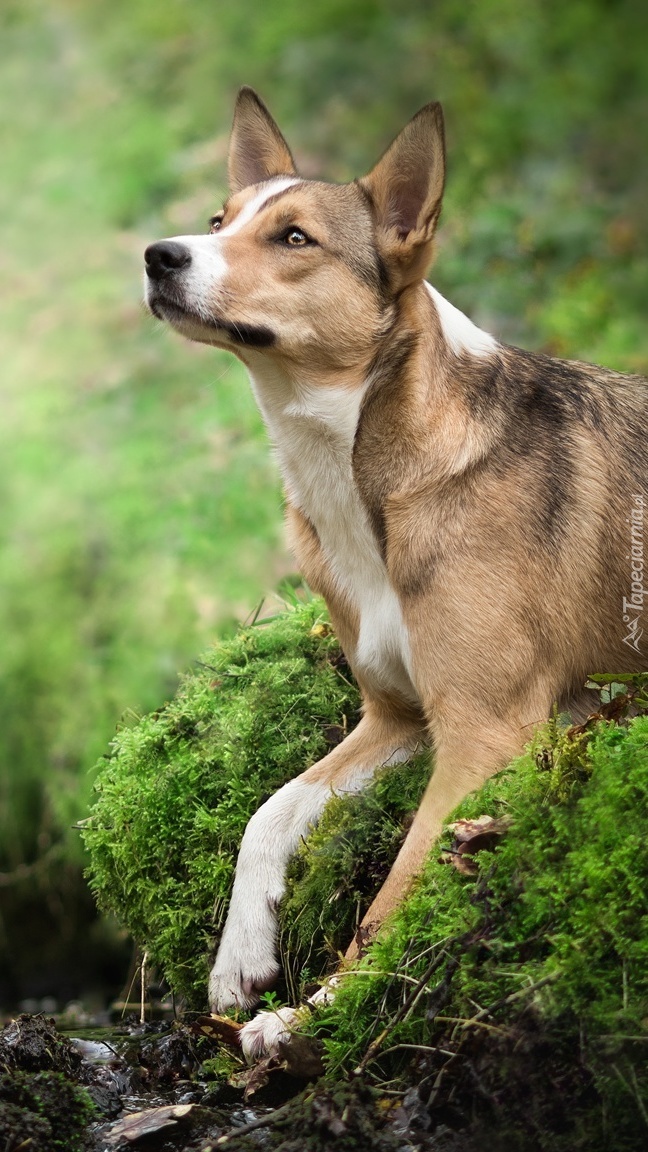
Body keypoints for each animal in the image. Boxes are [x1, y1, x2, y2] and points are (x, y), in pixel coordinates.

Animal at [146, 89, 645, 1055]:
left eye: (294, 238)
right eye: (219, 222)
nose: (158, 255)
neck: (365, 470)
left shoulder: (484, 736)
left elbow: (396, 894)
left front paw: (321, 1013)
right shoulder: (397, 718)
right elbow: (269, 814)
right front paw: (240, 960)